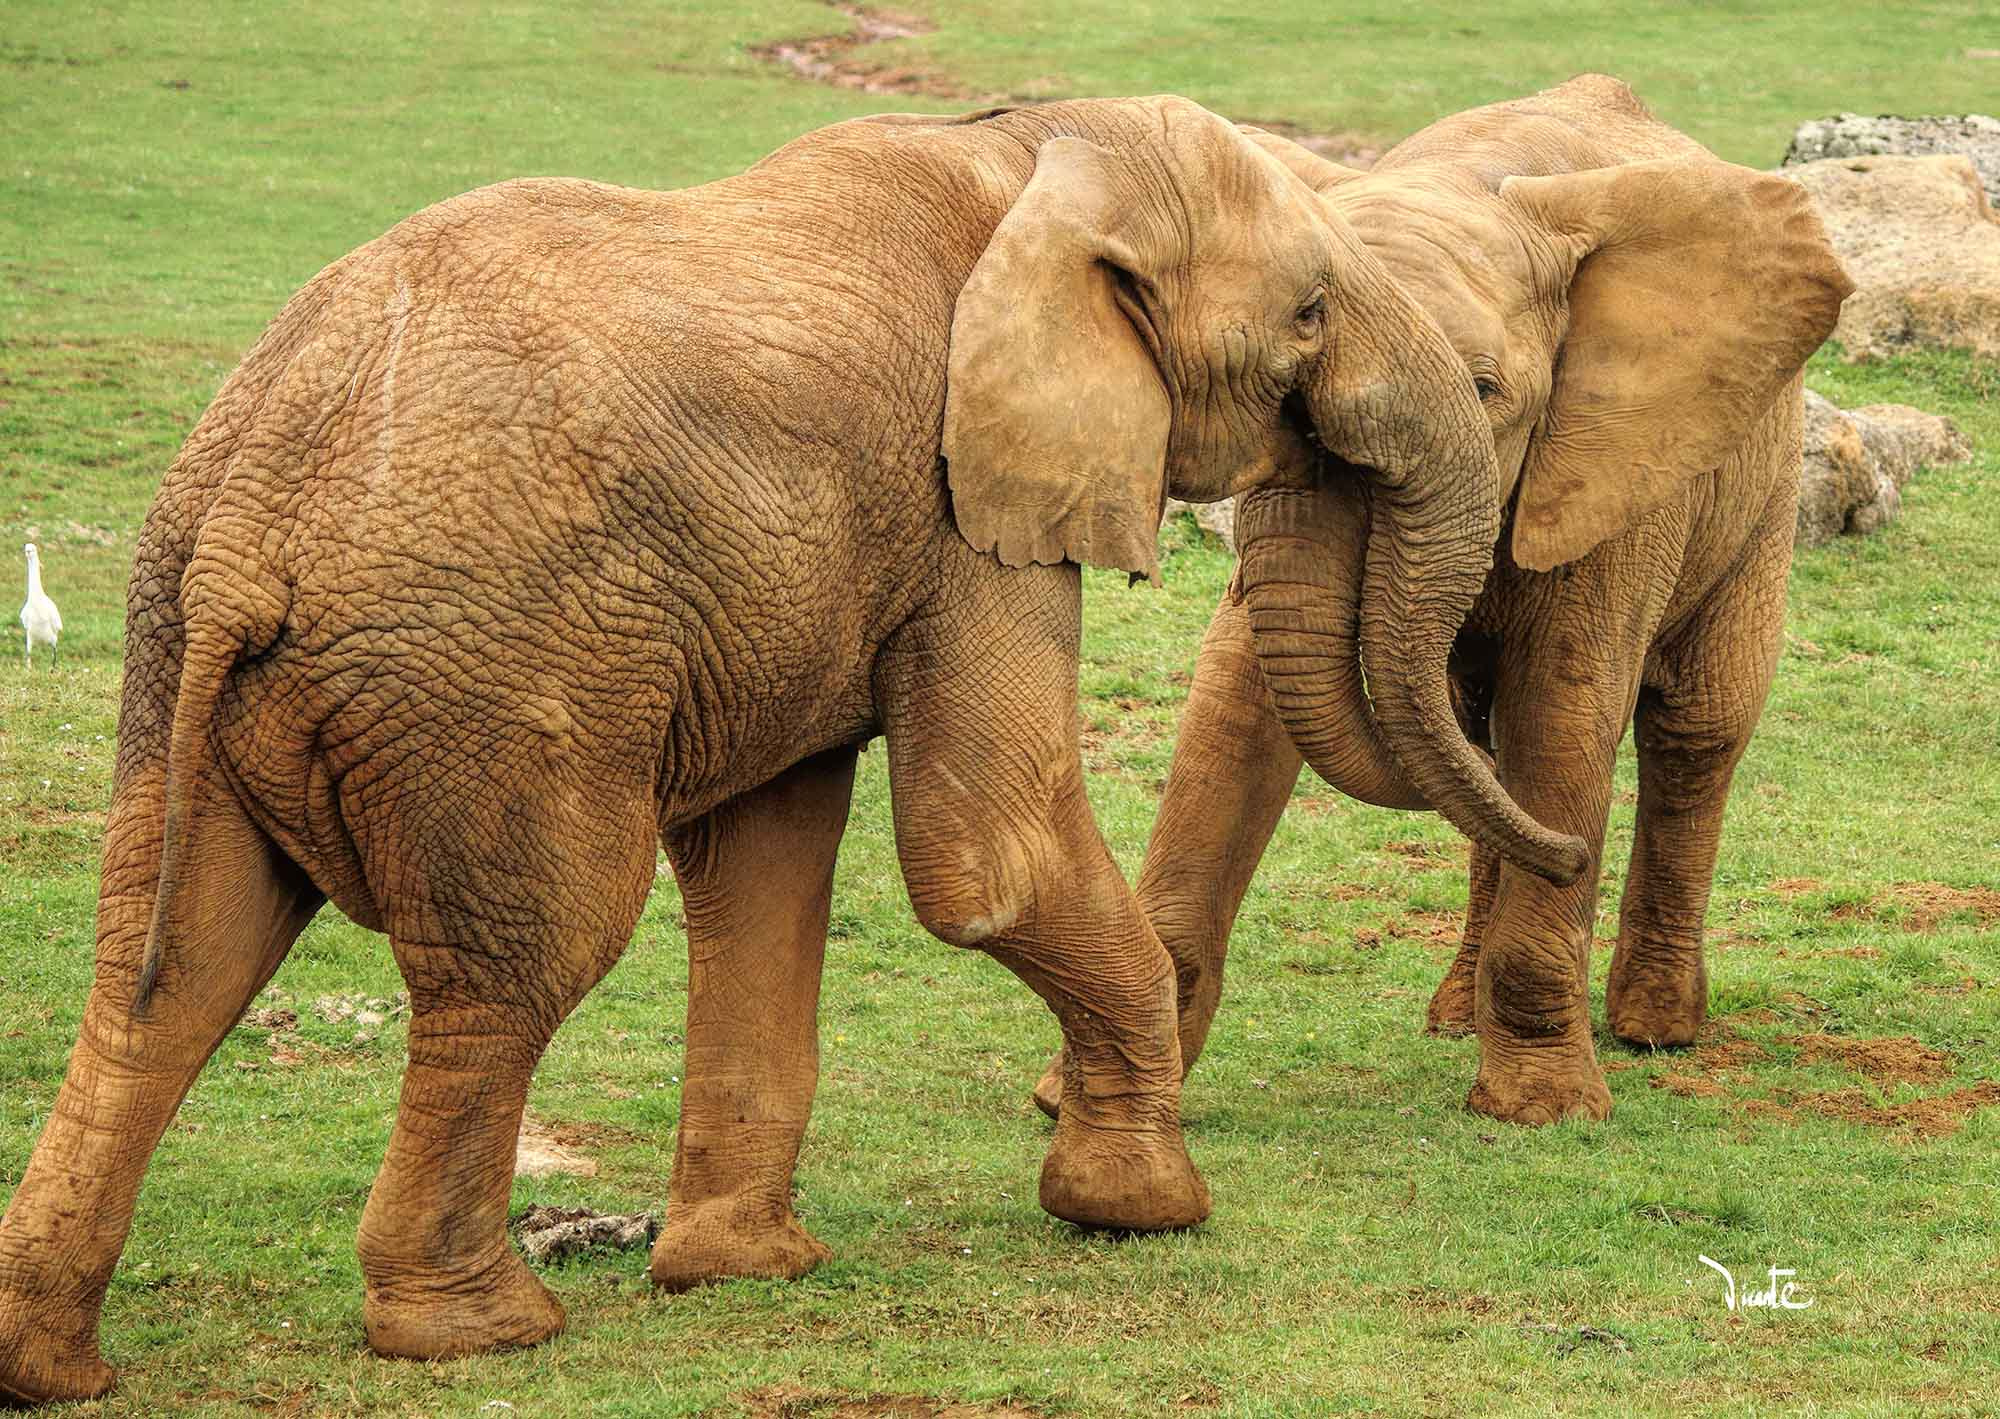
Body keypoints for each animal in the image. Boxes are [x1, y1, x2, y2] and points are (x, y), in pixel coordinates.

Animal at [0, 96, 1580, 1404]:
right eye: (1309, 313)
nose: (1566, 848)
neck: (1035, 148)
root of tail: (249, 516)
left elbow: (765, 855)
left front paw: (746, 1272)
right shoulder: (962, 510)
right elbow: (989, 858)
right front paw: (1143, 1210)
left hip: (177, 657)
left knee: (172, 968)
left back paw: (55, 1362)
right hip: (488, 678)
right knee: (520, 960)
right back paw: (480, 1331)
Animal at [1034, 75, 1852, 1127]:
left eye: (1486, 389)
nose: (1573, 858)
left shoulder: (1613, 462)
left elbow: (1566, 705)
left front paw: (1542, 1111)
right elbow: (1235, 703)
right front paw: (1071, 1096)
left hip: (1761, 479)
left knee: (1693, 729)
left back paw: (1654, 1027)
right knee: (1479, 735)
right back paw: (1459, 1015)